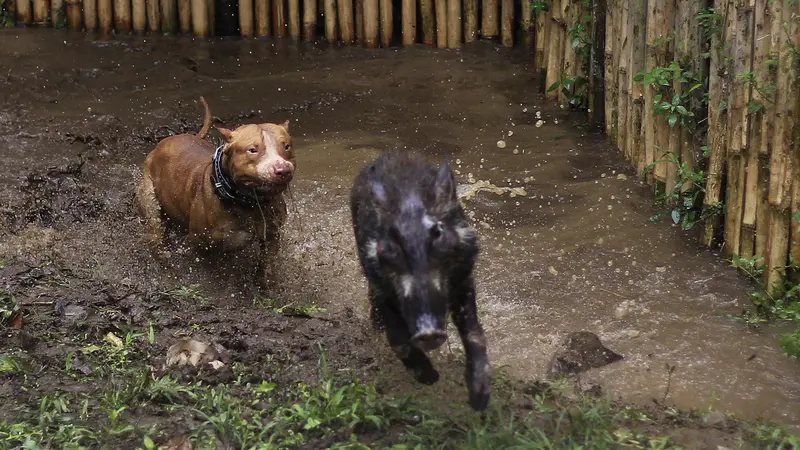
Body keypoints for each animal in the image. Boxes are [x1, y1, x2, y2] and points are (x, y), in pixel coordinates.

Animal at [136, 96, 296, 284]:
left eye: (286, 146)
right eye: (252, 150)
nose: (283, 170)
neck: (246, 202)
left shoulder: (272, 234)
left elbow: (266, 264)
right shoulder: (201, 244)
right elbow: (216, 274)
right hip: (150, 203)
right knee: (156, 234)